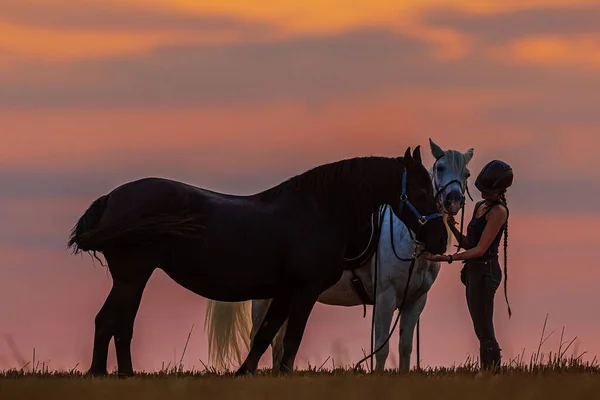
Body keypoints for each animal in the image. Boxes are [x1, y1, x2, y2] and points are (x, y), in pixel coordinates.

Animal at [68, 145, 448, 376]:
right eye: (419, 190)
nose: (440, 240)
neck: (319, 211)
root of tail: (111, 199)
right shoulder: (304, 291)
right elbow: (289, 339)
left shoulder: (284, 291)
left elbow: (265, 336)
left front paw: (243, 373)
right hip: (133, 276)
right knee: (112, 322)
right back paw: (108, 374)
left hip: (132, 277)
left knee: (115, 324)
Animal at [203, 140, 474, 372]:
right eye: (439, 168)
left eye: (466, 174)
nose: (453, 200)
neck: (406, 243)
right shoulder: (385, 299)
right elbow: (381, 349)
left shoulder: (415, 302)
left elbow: (405, 348)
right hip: (265, 300)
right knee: (260, 337)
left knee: (277, 342)